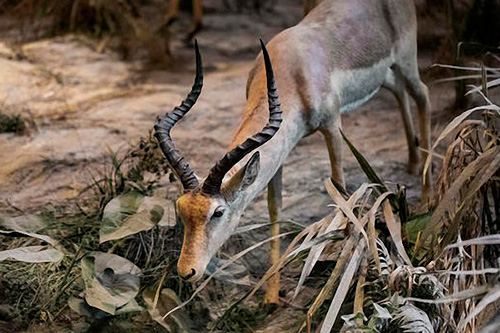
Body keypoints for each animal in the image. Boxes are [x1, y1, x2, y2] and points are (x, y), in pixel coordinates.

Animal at [154, 0, 432, 304]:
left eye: (217, 212)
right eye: (181, 209)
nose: (187, 271)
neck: (294, 72)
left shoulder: (333, 126)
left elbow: (340, 189)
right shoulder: (280, 149)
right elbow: (275, 208)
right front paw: (271, 295)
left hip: (406, 60)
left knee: (422, 94)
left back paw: (427, 196)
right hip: (386, 74)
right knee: (399, 91)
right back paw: (412, 162)